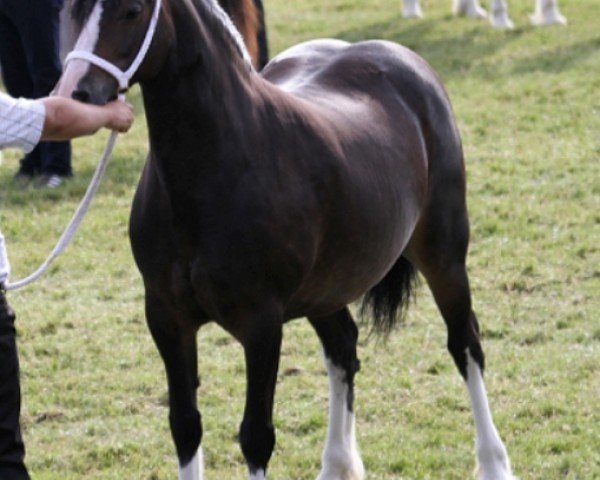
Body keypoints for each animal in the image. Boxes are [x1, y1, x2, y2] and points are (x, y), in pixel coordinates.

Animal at [57, 0, 516, 480]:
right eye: (72, 10)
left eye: (132, 11)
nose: (76, 93)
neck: (219, 167)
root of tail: (405, 62)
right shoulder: (166, 318)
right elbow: (185, 426)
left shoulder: (262, 323)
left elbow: (256, 437)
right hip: (327, 288)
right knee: (343, 349)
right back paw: (338, 465)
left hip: (444, 255)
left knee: (465, 344)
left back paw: (493, 462)